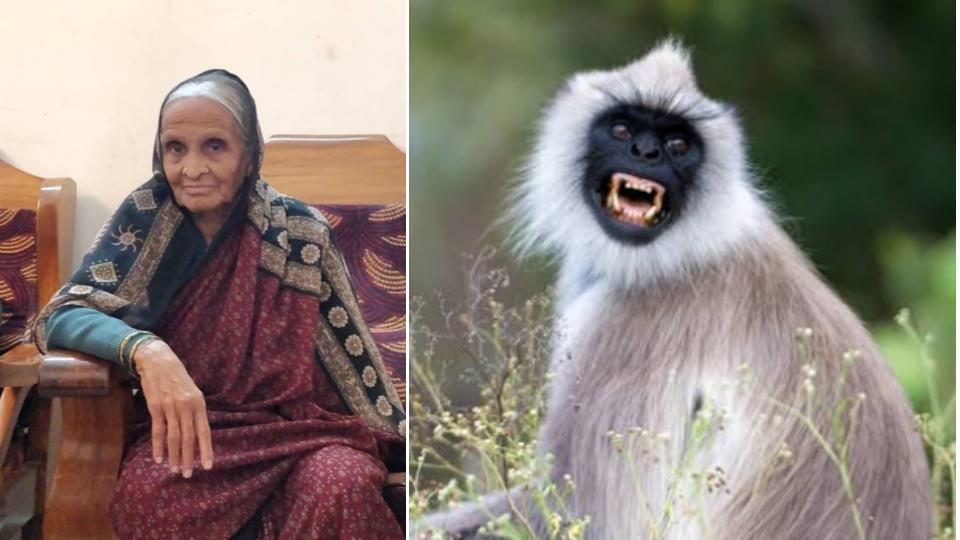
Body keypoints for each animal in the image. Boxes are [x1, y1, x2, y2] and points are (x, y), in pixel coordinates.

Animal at [420, 40, 932, 539]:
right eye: (622, 129)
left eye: (678, 143)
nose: (647, 152)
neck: (680, 250)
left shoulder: (628, 328)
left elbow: (573, 517)